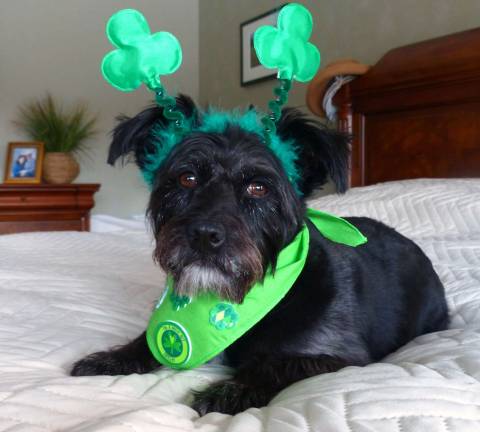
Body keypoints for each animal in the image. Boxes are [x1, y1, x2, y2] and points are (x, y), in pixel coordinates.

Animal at [69, 95, 448, 416]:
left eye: (258, 188)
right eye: (187, 178)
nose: (204, 236)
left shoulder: (341, 356)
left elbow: (278, 364)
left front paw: (230, 391)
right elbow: (147, 341)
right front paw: (112, 358)